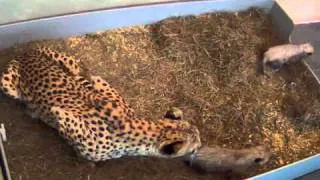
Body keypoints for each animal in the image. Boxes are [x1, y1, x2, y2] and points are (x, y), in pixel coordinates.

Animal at [0, 46, 200, 162]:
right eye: (195, 146)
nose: (200, 147)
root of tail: (26, 53)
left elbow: (97, 83)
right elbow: (63, 114)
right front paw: (55, 110)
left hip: (67, 62)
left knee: (78, 70)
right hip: (6, 83)